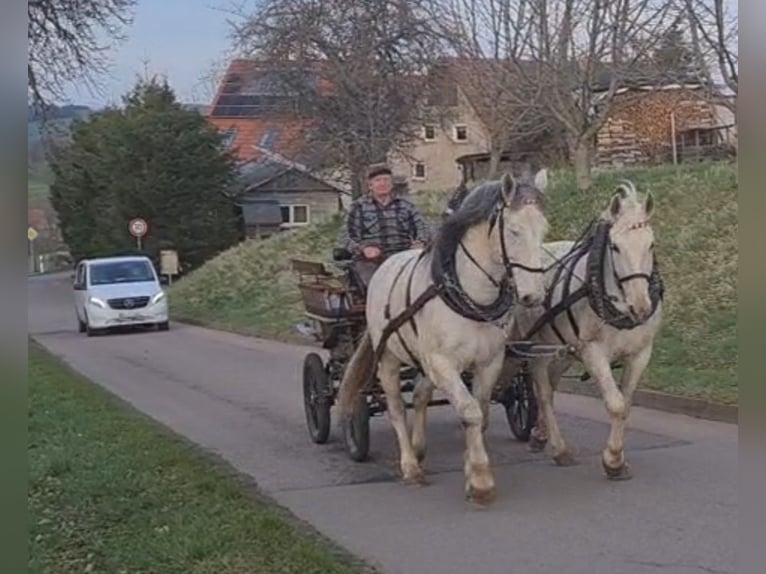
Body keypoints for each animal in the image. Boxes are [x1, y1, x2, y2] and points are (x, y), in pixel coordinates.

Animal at [340, 170, 548, 504]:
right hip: (388, 358)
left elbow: (481, 412)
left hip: (421, 359)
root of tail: (387, 262)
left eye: (544, 229)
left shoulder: (488, 362)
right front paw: (480, 480)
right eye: (514, 231)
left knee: (420, 395)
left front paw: (470, 466)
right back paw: (410, 466)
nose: (533, 296)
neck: (468, 294)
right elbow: (469, 412)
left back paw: (419, 447)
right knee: (395, 407)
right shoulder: (443, 363)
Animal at [508, 182, 664, 480]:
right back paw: (559, 449)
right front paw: (613, 461)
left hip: (563, 351)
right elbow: (615, 404)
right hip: (537, 348)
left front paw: (618, 458)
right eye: (615, 247)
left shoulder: (641, 353)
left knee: (551, 386)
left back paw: (540, 435)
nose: (640, 306)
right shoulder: (593, 351)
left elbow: (626, 404)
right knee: (543, 394)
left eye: (651, 244)